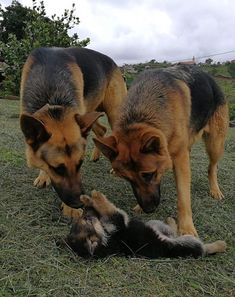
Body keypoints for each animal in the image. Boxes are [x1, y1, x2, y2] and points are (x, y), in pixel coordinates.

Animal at [20, 46, 126, 208]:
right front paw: (43, 176)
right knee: (102, 130)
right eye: (57, 169)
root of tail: (113, 62)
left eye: (80, 164)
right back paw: (96, 155)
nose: (79, 203)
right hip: (89, 114)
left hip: (113, 114)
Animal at [65, 191, 227, 258]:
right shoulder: (117, 220)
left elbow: (101, 207)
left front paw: (87, 199)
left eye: (85, 218)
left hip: (155, 224)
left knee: (171, 229)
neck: (106, 239)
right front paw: (96, 196)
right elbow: (106, 206)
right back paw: (221, 244)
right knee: (204, 248)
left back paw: (170, 220)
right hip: (185, 243)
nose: (87, 215)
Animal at [92, 65, 229, 234]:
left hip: (215, 145)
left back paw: (215, 190)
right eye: (127, 179)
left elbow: (183, 197)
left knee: (212, 167)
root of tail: (210, 78)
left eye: (149, 174)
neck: (141, 116)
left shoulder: (180, 159)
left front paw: (186, 228)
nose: (148, 210)